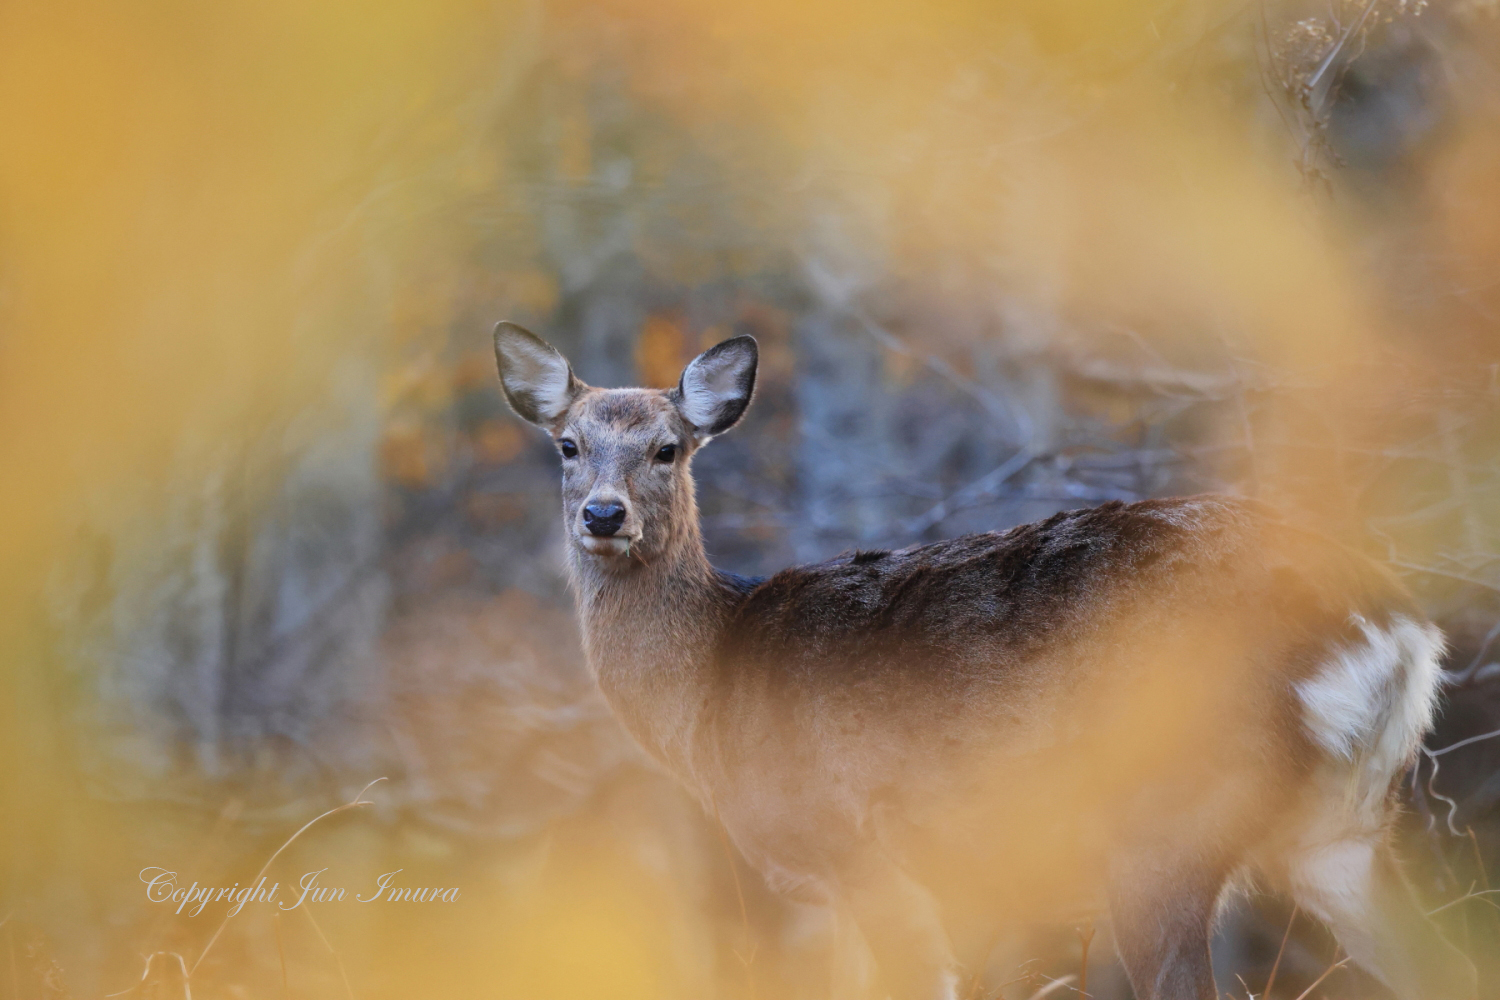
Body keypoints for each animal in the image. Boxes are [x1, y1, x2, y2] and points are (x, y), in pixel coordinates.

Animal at [492, 321, 1477, 1000]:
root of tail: (1392, 627)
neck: (711, 688)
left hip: (1170, 817)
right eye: (569, 445)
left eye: (668, 448)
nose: (605, 515)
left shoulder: (857, 849)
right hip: (1341, 827)